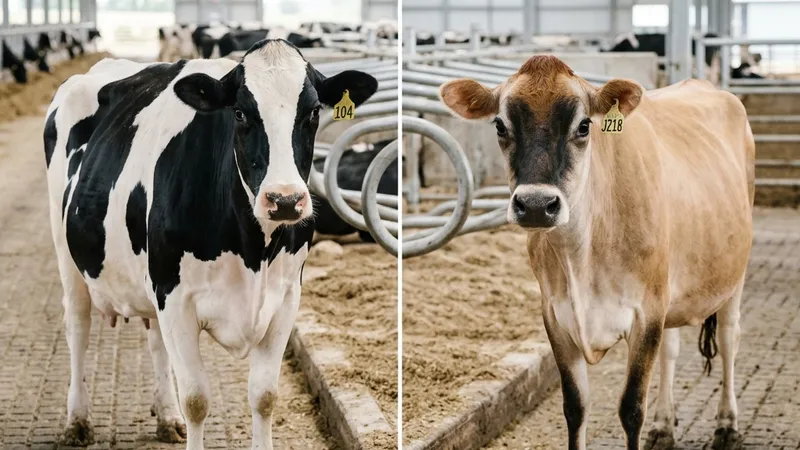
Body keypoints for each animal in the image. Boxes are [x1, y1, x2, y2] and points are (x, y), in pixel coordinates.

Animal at [44, 39, 378, 448]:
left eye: (314, 112)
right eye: (239, 112)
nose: (284, 200)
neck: (254, 250)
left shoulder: (285, 300)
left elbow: (265, 395)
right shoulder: (176, 299)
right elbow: (197, 399)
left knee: (154, 337)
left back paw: (167, 416)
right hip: (67, 251)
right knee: (77, 323)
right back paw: (77, 421)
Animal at [439, 55, 753, 450]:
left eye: (584, 125)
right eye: (499, 125)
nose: (536, 205)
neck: (582, 256)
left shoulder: (646, 313)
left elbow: (631, 409)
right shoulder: (555, 316)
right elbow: (575, 407)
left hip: (733, 275)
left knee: (729, 338)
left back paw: (727, 425)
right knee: (671, 349)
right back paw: (664, 426)